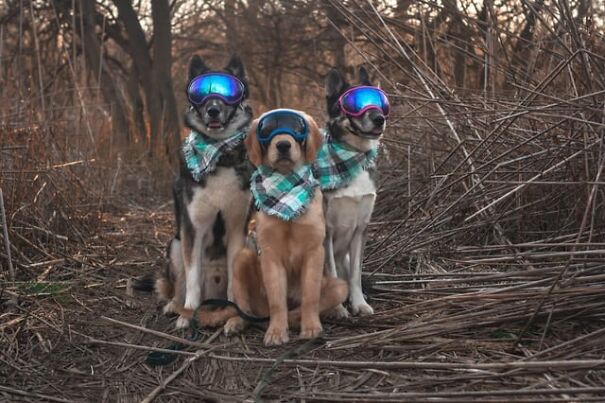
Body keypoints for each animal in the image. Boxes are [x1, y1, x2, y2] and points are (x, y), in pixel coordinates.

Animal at [320, 67, 386, 318]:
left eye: (380, 103)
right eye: (353, 104)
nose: (379, 118)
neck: (353, 158)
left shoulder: (360, 229)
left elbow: (356, 276)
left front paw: (359, 304)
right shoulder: (325, 231)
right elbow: (330, 273)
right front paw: (337, 308)